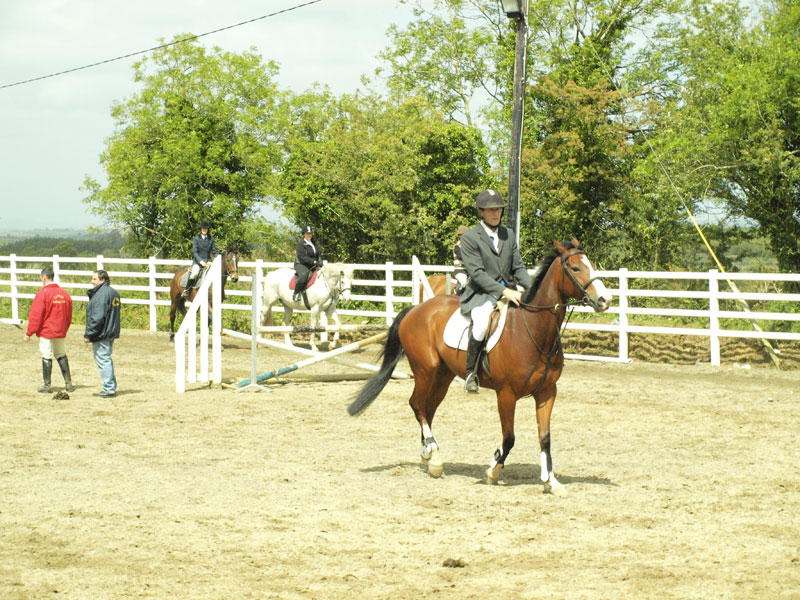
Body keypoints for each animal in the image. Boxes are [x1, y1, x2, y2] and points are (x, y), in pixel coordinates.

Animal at [348, 239, 612, 495]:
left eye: (591, 264)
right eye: (575, 268)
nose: (605, 300)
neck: (534, 330)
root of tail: (417, 309)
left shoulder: (547, 393)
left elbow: (545, 438)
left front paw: (551, 482)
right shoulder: (506, 394)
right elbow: (509, 438)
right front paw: (493, 471)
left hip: (442, 376)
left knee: (428, 409)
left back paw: (429, 455)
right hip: (425, 370)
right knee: (417, 405)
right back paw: (435, 459)